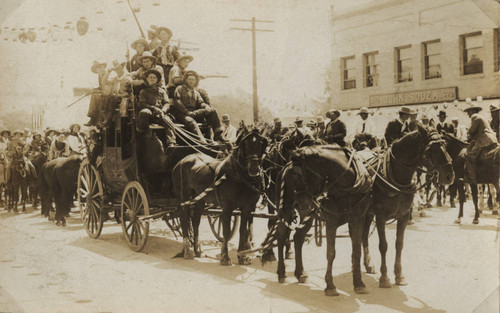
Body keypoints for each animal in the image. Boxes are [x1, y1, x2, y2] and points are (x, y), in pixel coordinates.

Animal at [172, 129, 268, 264]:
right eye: (245, 144)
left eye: (260, 144)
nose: (254, 169)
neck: (238, 176)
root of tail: (182, 161)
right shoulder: (227, 206)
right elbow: (226, 231)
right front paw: (225, 257)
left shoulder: (247, 207)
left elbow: (243, 230)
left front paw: (242, 256)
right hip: (183, 197)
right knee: (184, 218)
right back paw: (187, 251)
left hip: (199, 199)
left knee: (195, 222)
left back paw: (198, 250)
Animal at [362, 123, 456, 288]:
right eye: (430, 150)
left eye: (445, 145)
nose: (449, 175)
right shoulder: (380, 216)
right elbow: (383, 245)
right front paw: (384, 277)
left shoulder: (403, 215)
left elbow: (399, 244)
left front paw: (399, 275)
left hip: (369, 212)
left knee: (364, 235)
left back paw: (368, 264)